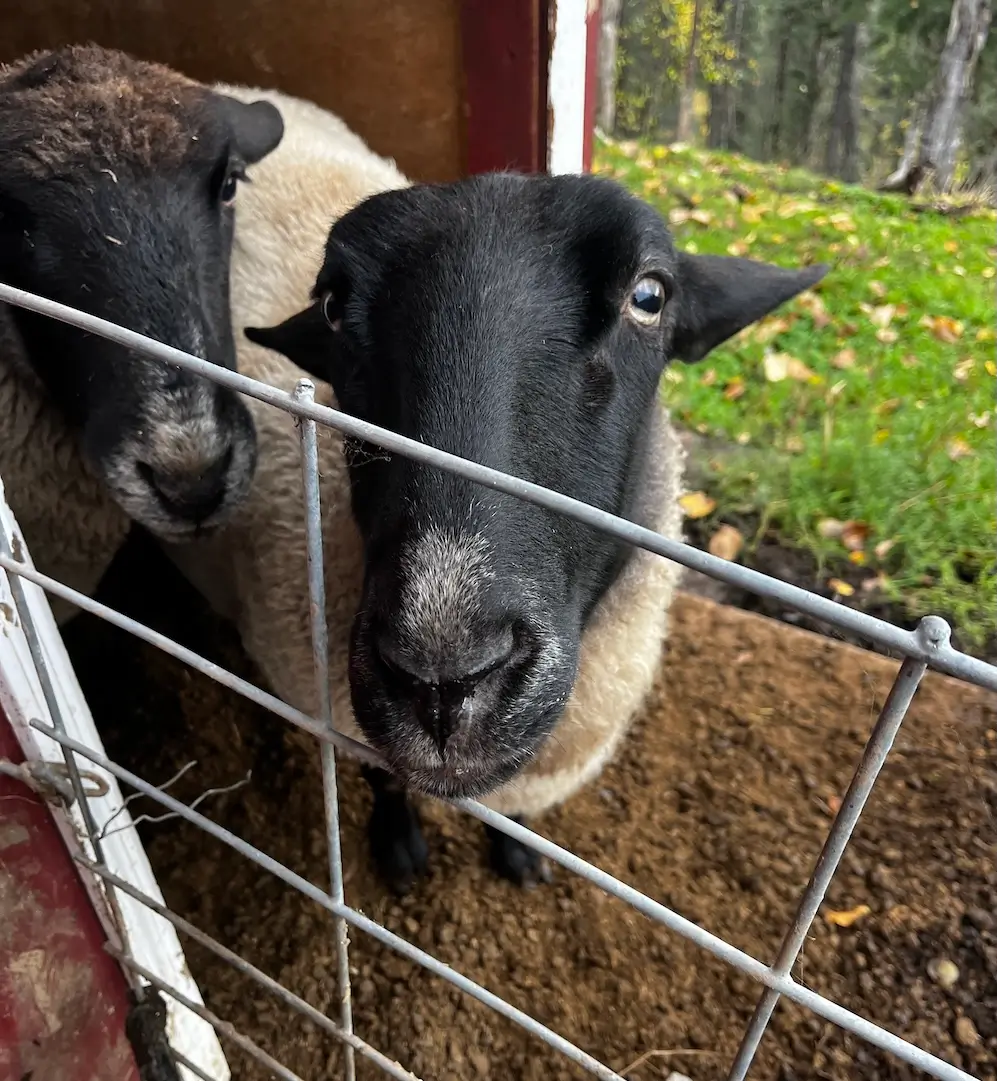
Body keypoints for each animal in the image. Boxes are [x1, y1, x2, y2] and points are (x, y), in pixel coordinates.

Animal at [169, 84, 826, 893]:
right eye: (331, 307)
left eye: (649, 296)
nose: (442, 679)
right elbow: (386, 777)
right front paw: (398, 845)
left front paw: (517, 852)